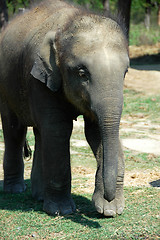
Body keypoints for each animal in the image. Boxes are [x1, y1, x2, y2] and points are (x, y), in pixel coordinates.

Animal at [0, 0, 129, 218]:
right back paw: (15, 190)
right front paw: (62, 211)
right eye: (82, 73)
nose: (109, 198)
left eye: (126, 72)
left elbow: (95, 130)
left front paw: (110, 210)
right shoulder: (40, 79)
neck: (69, 22)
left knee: (40, 133)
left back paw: (39, 196)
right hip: (5, 88)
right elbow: (58, 129)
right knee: (15, 131)